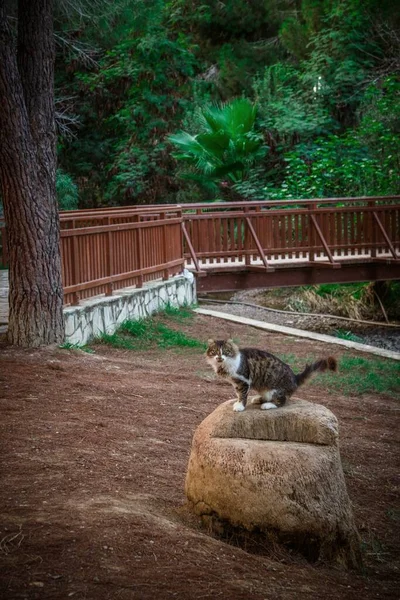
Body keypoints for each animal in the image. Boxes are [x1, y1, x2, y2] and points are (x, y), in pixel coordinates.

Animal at [206, 338, 338, 412]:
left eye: (225, 352)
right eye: (215, 352)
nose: (219, 357)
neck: (223, 367)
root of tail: (295, 377)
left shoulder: (244, 381)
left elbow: (242, 395)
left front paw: (240, 407)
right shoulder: (236, 383)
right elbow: (239, 395)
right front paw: (238, 403)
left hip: (275, 390)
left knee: (281, 402)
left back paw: (268, 405)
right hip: (265, 389)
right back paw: (258, 399)